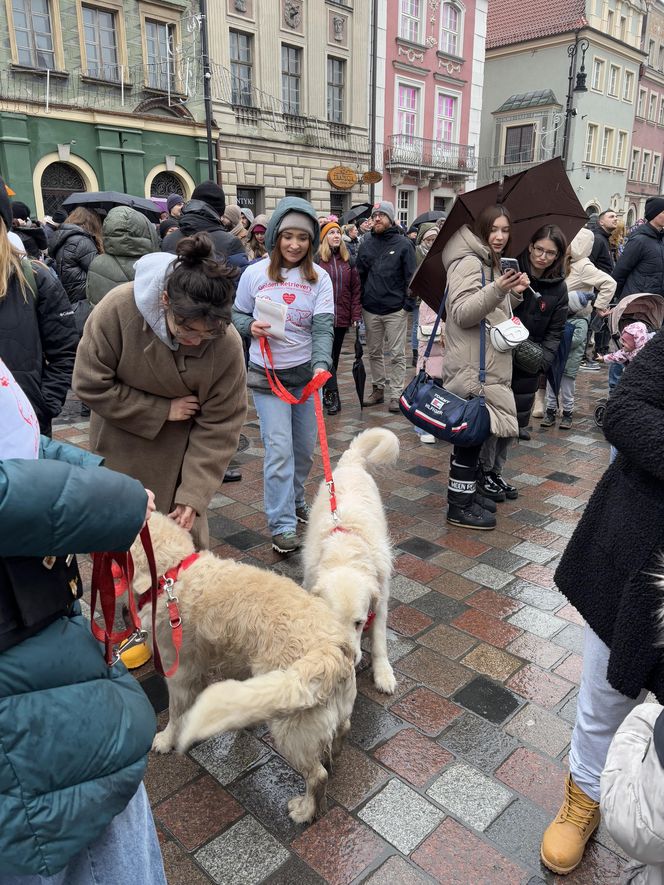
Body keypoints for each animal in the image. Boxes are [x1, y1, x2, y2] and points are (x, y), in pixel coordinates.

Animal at [131, 512, 358, 820]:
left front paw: (165, 740)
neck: (172, 575)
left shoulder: (179, 674)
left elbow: (176, 714)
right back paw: (332, 757)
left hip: (291, 730)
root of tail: (331, 649)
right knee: (340, 733)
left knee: (316, 775)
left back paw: (304, 810)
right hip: (335, 710)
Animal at [302, 424, 400, 696]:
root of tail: (352, 461)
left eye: (358, 622)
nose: (349, 658)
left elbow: (379, 642)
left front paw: (383, 673)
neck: (344, 554)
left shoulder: (381, 600)